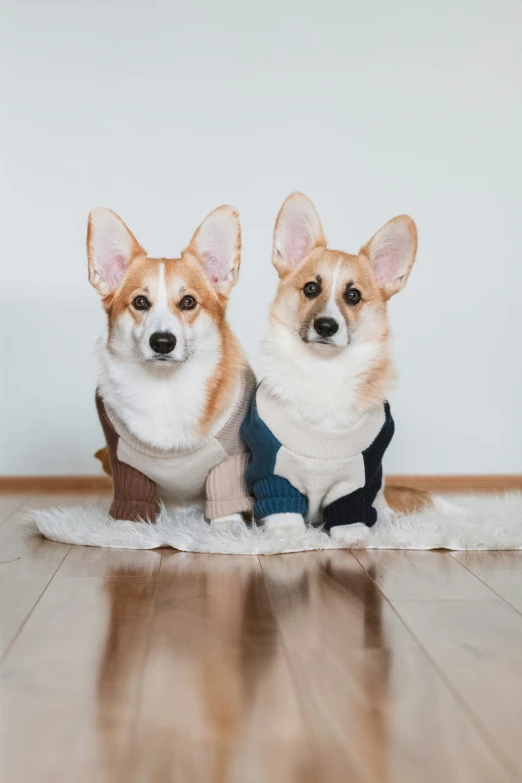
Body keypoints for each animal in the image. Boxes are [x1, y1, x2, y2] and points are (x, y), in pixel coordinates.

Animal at [89, 207, 254, 528]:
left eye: (188, 301)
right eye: (140, 302)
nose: (162, 342)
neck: (165, 388)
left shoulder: (230, 458)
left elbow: (226, 505)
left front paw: (228, 532)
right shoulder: (124, 461)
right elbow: (131, 504)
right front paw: (128, 530)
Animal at [242, 193, 428, 544]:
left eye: (353, 295)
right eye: (311, 289)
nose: (326, 326)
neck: (324, 371)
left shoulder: (360, 475)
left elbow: (351, 506)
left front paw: (352, 535)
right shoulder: (272, 469)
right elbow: (282, 505)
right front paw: (287, 535)